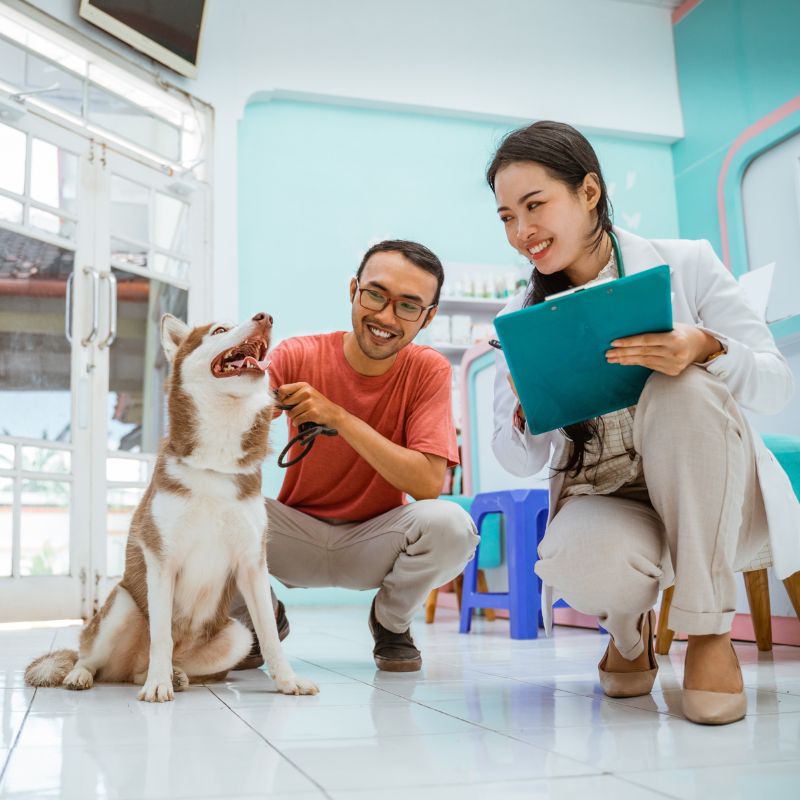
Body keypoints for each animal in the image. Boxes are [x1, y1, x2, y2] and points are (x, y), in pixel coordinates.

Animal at [22, 312, 316, 700]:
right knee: (90, 658)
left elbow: (269, 633)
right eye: (219, 330)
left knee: (150, 667)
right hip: (122, 604)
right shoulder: (162, 560)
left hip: (236, 635)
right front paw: (158, 684)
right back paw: (89, 675)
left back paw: (173, 674)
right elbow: (161, 634)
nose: (264, 317)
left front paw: (287, 680)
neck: (216, 460)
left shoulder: (252, 563)